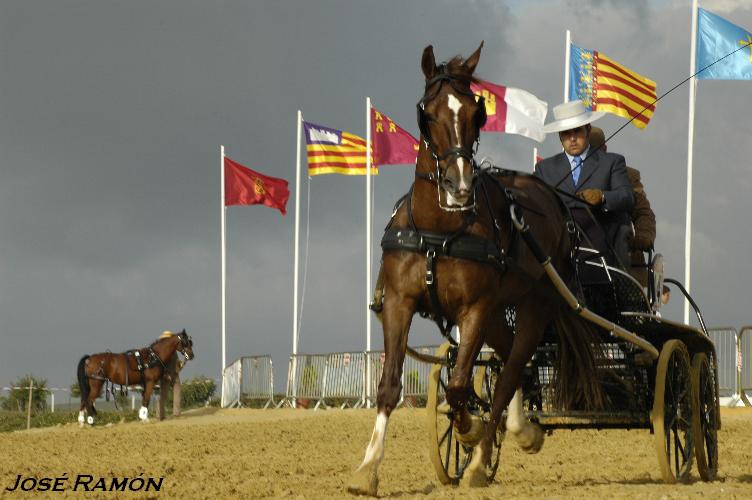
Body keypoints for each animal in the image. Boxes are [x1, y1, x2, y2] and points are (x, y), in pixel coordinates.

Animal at [348, 43, 604, 496]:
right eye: (428, 112)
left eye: (476, 111)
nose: (459, 185)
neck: (439, 230)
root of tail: (553, 199)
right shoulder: (399, 302)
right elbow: (390, 384)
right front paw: (368, 468)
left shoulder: (474, 309)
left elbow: (458, 386)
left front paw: (469, 431)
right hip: (499, 311)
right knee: (511, 362)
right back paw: (520, 430)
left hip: (532, 304)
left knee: (512, 367)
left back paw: (484, 457)